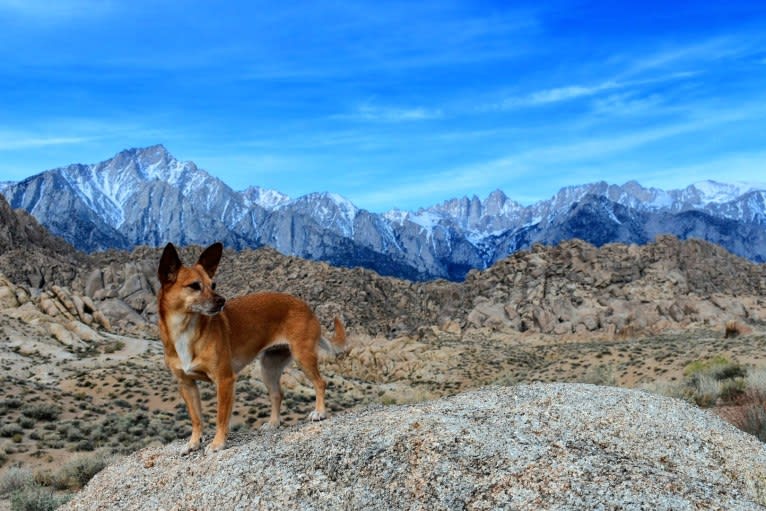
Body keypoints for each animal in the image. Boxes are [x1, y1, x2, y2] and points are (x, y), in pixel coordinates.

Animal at [158, 242, 346, 454]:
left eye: (213, 285)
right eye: (194, 286)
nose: (222, 301)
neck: (186, 330)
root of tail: (307, 307)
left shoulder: (224, 380)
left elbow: (221, 416)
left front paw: (217, 443)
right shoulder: (187, 384)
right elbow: (196, 418)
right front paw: (193, 442)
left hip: (302, 356)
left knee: (320, 383)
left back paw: (319, 412)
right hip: (268, 367)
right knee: (277, 394)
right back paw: (273, 423)